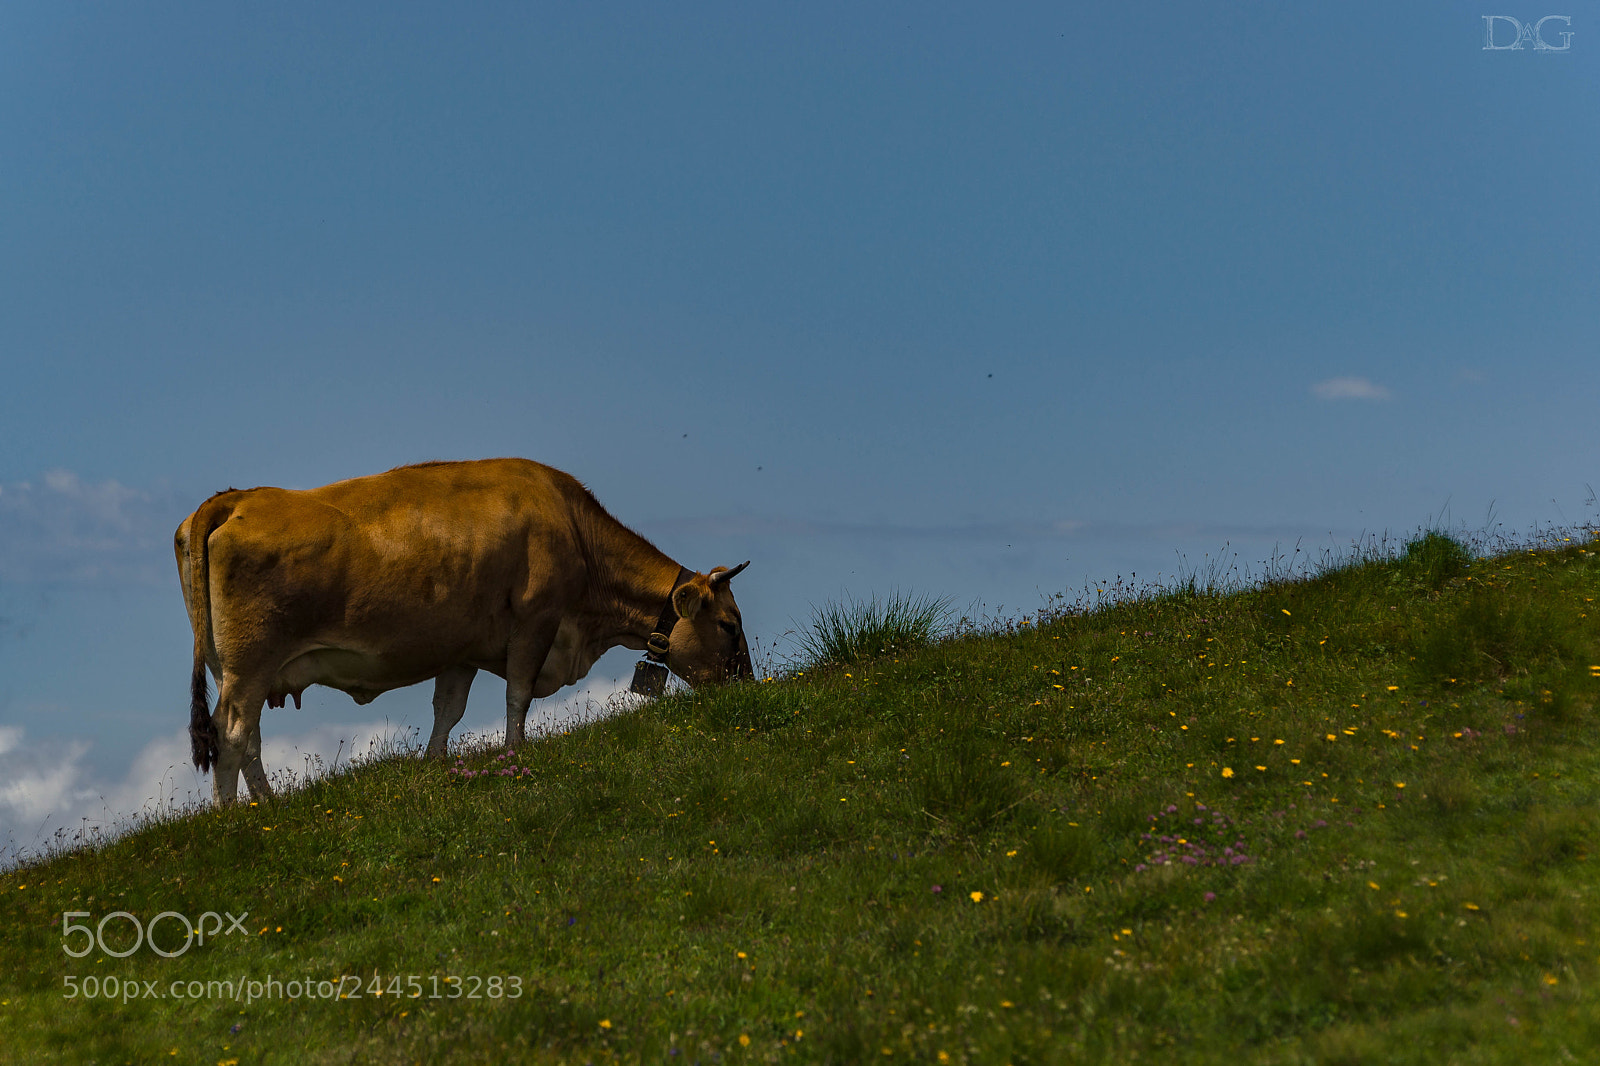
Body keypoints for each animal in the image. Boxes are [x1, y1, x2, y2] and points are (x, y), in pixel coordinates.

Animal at [174, 458, 752, 805]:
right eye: (729, 625)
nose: (747, 686)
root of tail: (235, 498)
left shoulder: (463, 648)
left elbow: (447, 710)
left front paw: (433, 764)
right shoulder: (536, 621)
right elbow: (518, 695)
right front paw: (515, 756)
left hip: (236, 669)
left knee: (249, 737)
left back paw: (268, 804)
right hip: (250, 663)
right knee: (231, 734)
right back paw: (233, 817)